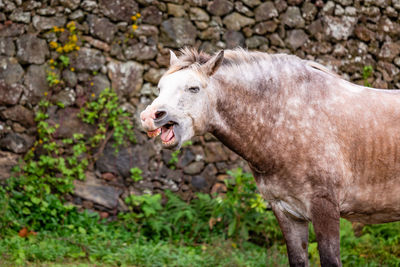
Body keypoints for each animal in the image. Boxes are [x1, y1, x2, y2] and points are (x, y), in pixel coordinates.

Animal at [140, 48, 400, 267]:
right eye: (160, 87)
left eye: (194, 88)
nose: (149, 116)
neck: (288, 119)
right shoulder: (287, 212)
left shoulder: (324, 209)